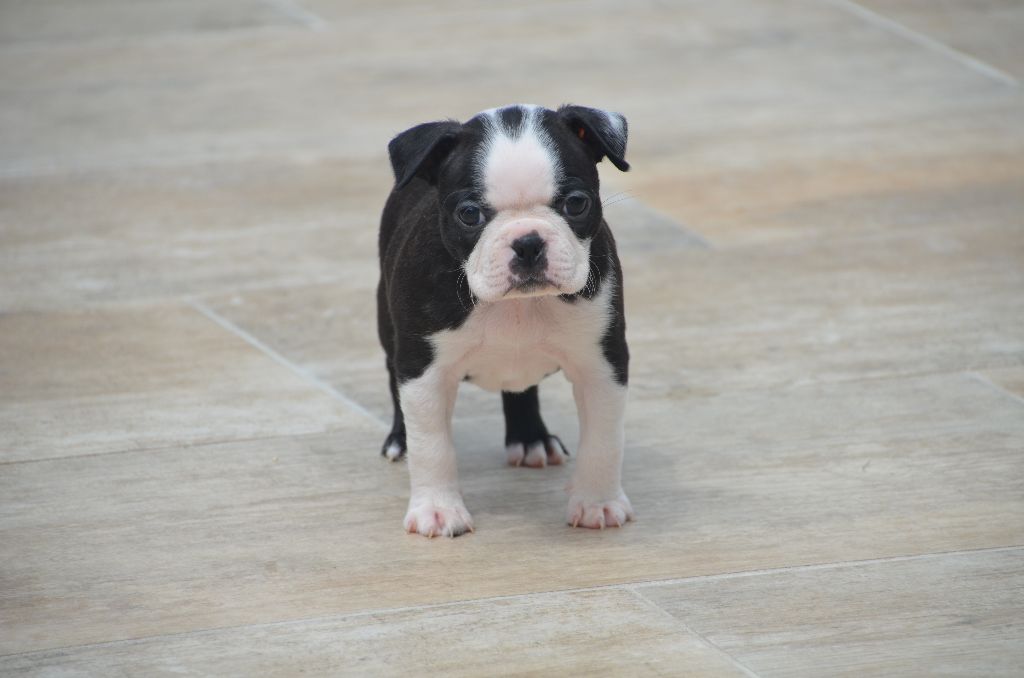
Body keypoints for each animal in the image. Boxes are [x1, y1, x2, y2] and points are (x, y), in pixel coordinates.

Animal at [377, 104, 632, 537]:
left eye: (576, 203)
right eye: (469, 214)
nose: (528, 242)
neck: (516, 306)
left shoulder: (602, 364)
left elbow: (603, 440)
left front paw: (598, 503)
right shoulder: (423, 369)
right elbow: (432, 445)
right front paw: (438, 510)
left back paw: (531, 439)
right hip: (388, 327)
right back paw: (400, 439)